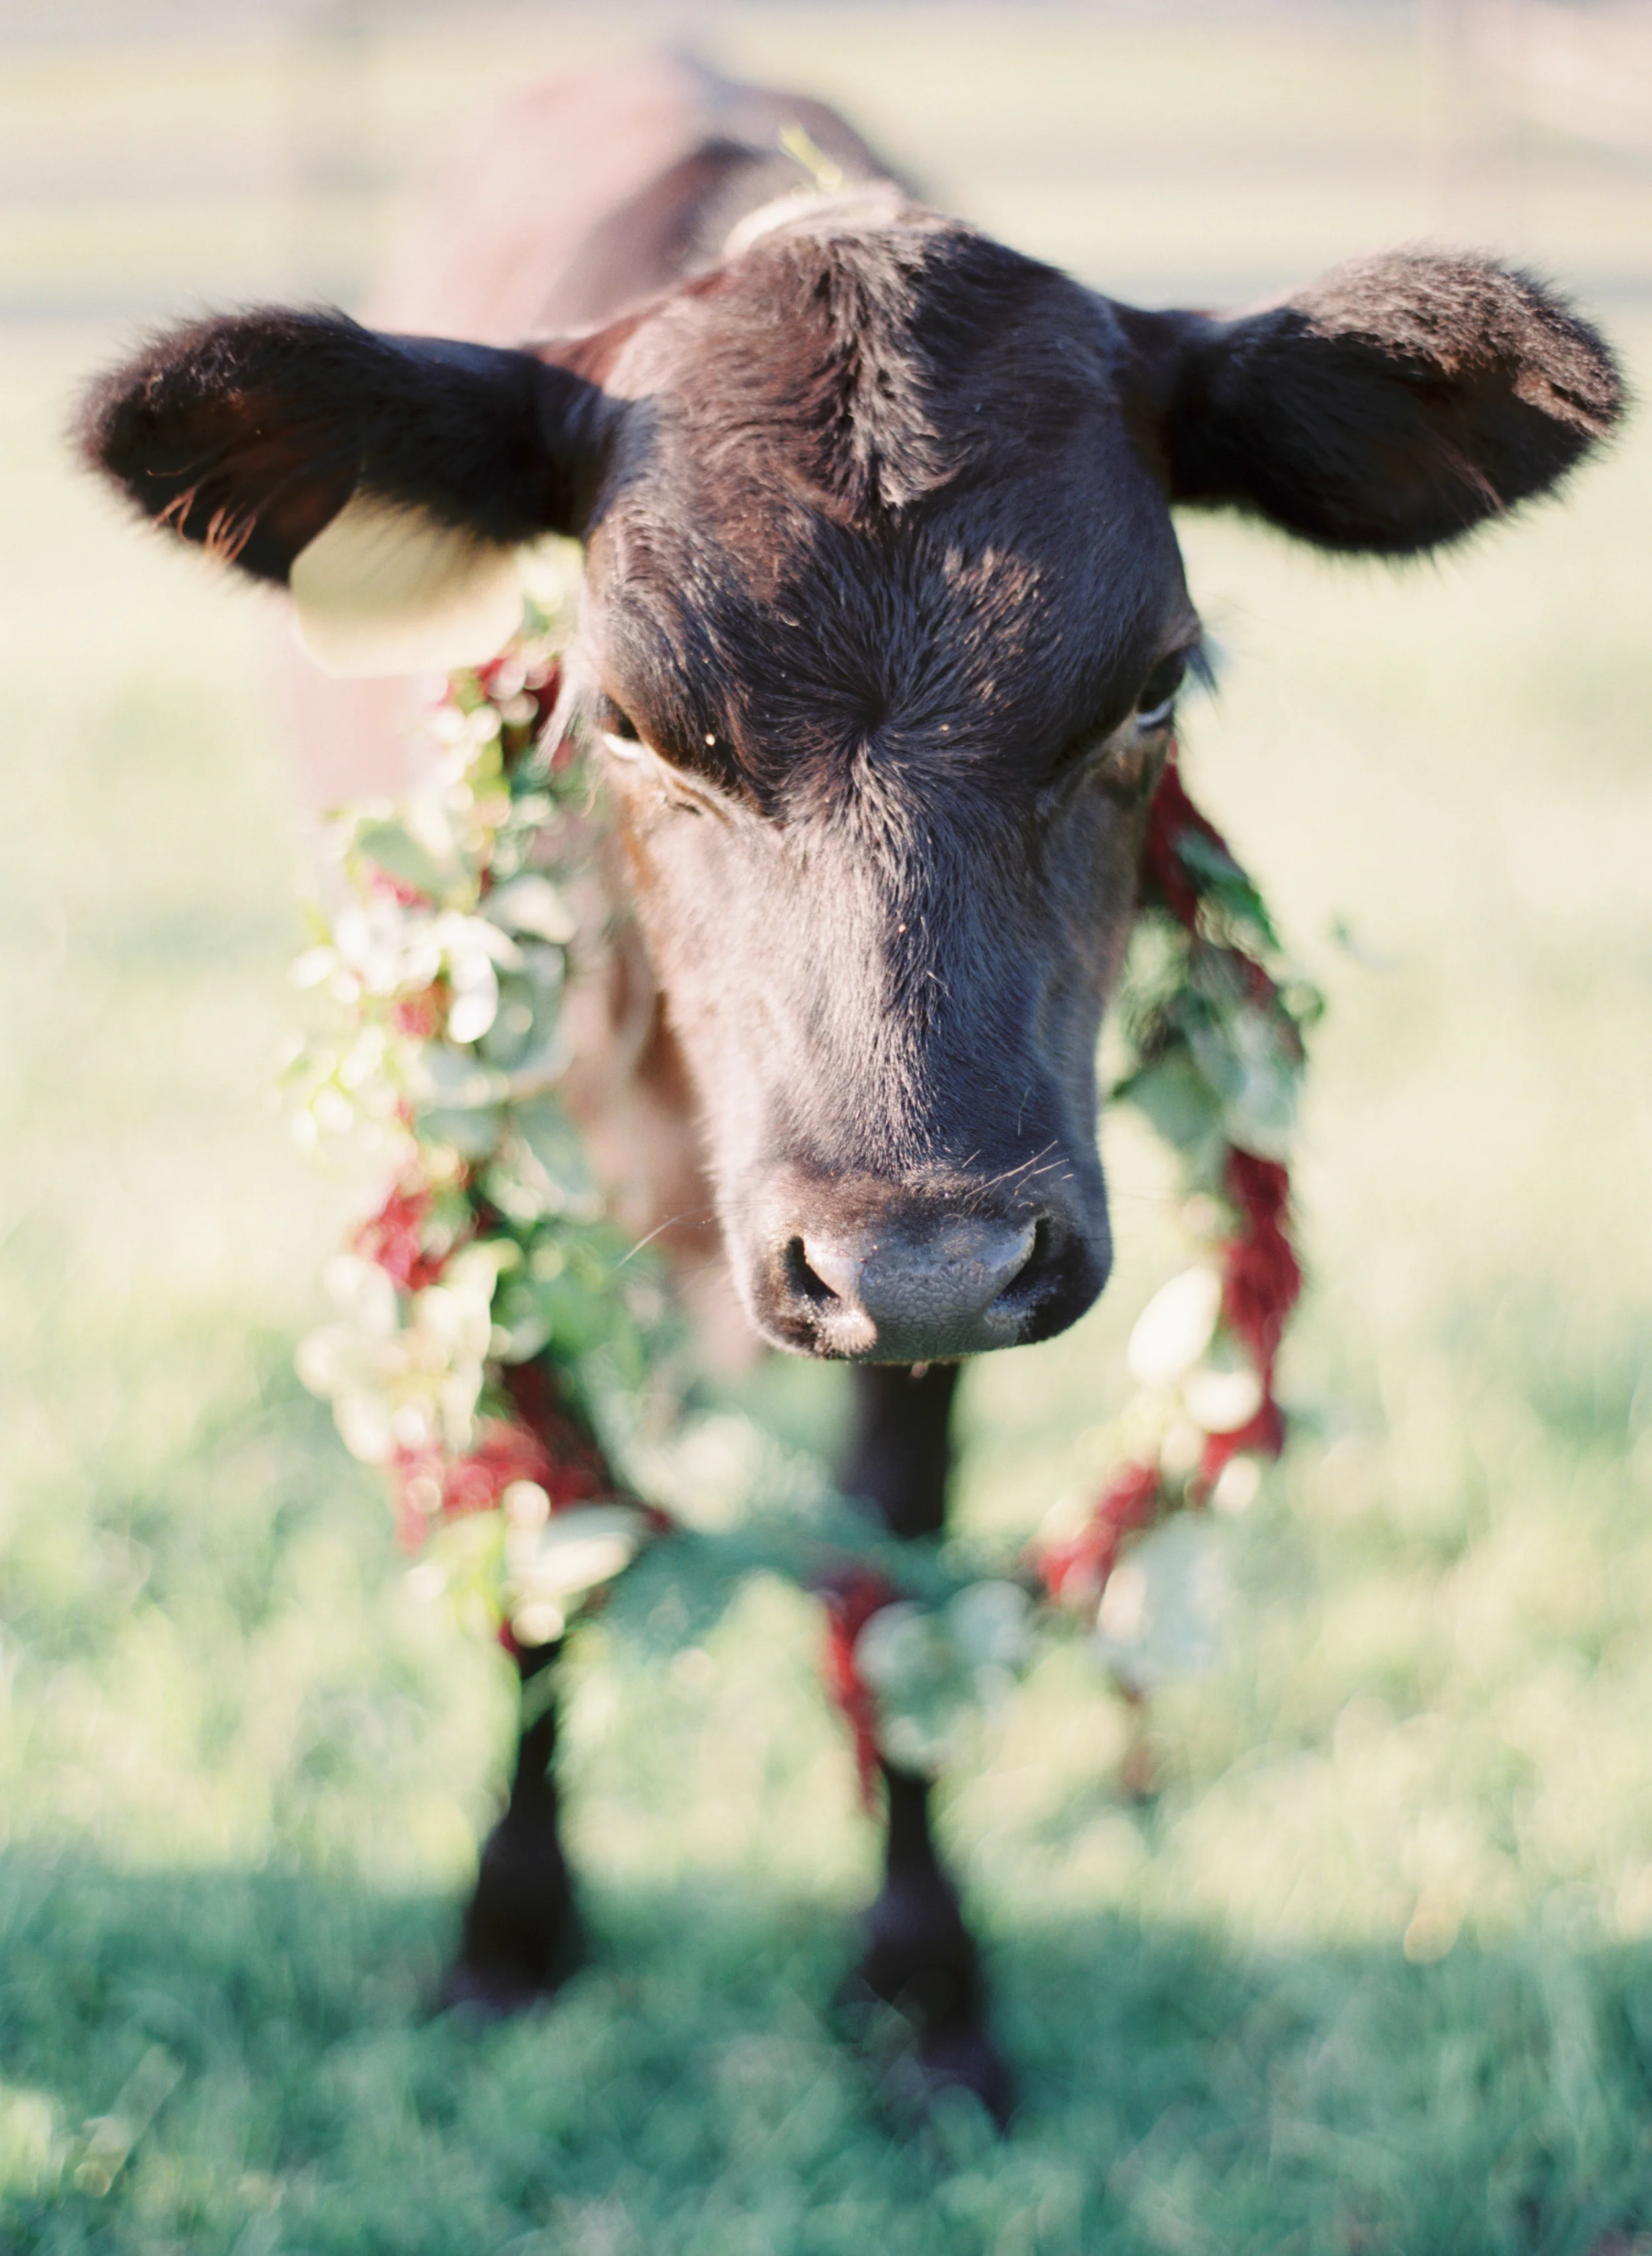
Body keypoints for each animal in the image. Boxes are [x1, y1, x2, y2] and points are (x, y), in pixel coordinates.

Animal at [76, 53, 1621, 2121]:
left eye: (1155, 682)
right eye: (629, 715)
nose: (917, 1264)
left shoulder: (964, 1227)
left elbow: (894, 1561)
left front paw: (924, 1980)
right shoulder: (503, 1163)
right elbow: (541, 1535)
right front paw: (511, 1932)